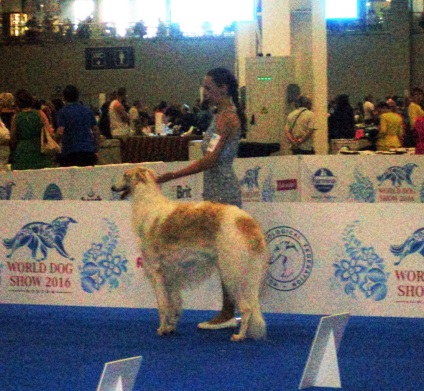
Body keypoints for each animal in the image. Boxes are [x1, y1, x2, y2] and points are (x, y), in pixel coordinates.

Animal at [111, 168, 266, 344]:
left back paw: (240, 335)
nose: (112, 187)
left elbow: (162, 306)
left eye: (125, 175)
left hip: (233, 274)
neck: (148, 205)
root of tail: (246, 221)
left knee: (247, 309)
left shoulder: (157, 271)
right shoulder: (170, 275)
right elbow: (174, 305)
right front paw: (170, 328)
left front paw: (162, 329)